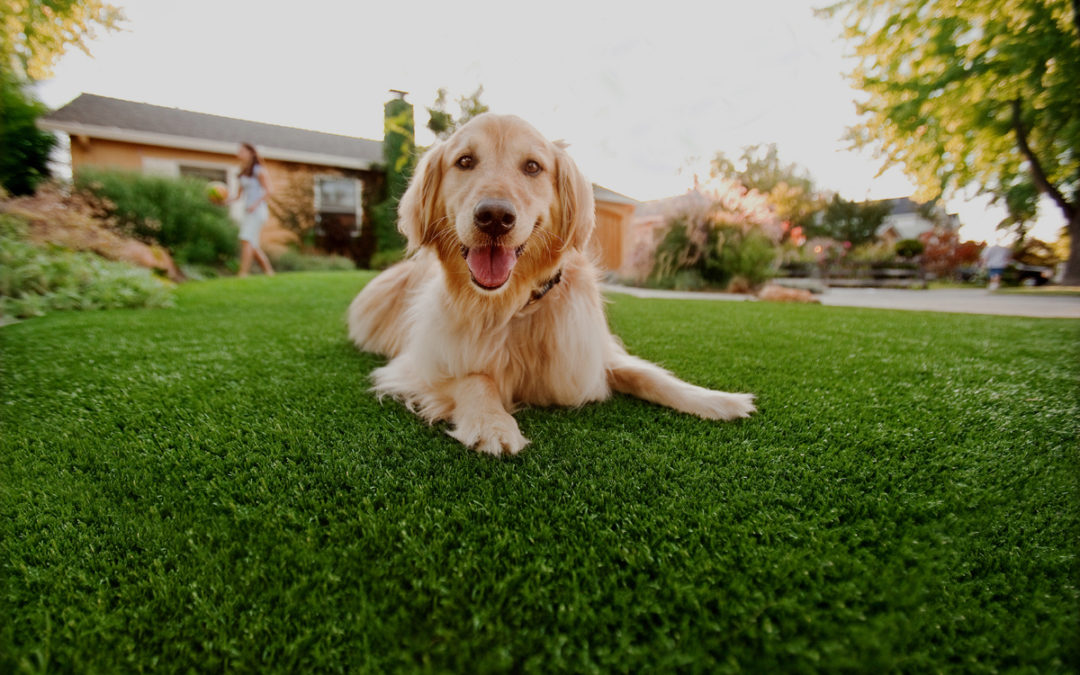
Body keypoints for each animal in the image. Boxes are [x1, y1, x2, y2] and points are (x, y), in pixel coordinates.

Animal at [349, 113, 756, 455]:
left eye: (532, 166)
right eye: (465, 161)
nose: (494, 217)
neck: (513, 305)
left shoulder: (588, 355)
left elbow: (648, 375)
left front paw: (716, 400)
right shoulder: (418, 366)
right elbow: (476, 378)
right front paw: (493, 424)